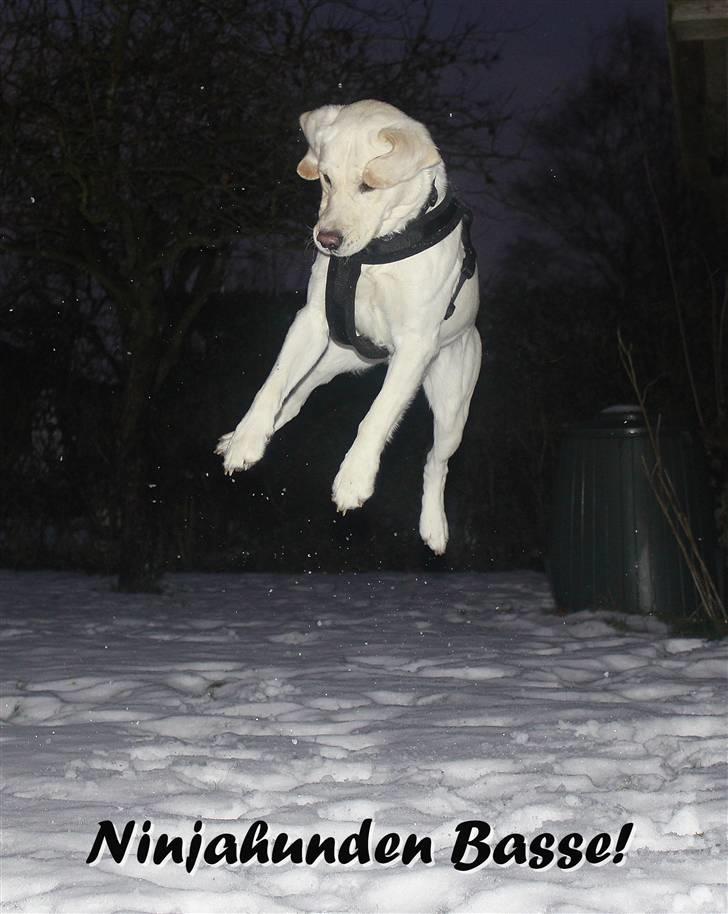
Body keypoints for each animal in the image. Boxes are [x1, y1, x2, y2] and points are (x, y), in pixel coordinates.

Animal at [216, 102, 478, 552]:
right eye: (325, 178)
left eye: (368, 185)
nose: (327, 240)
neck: (376, 252)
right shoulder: (311, 321)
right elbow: (273, 383)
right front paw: (247, 438)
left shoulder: (414, 348)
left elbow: (377, 416)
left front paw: (354, 477)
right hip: (327, 360)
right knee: (292, 400)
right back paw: (240, 437)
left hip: (451, 410)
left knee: (436, 463)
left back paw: (433, 526)